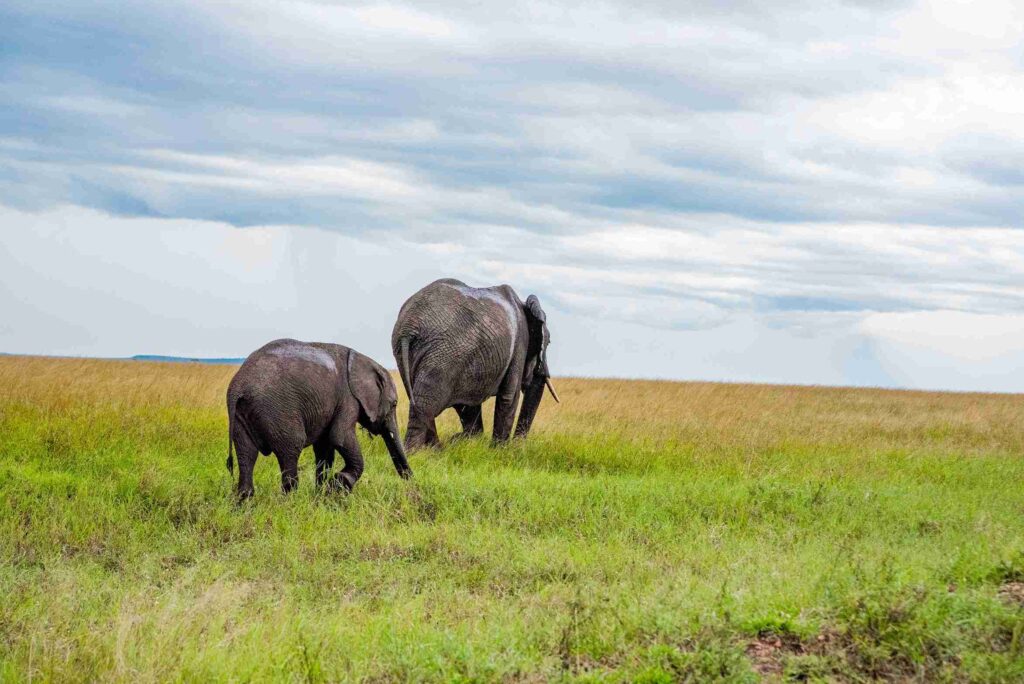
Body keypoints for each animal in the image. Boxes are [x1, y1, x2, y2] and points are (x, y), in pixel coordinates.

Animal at [225, 339, 411, 499]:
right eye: (394, 404)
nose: (409, 479)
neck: (363, 360)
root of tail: (238, 386)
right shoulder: (348, 398)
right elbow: (340, 437)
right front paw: (339, 483)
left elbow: (324, 448)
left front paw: (322, 494)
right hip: (277, 410)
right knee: (291, 450)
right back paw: (290, 502)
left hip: (241, 414)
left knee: (246, 454)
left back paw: (244, 503)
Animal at [391, 278, 559, 451]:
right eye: (548, 342)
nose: (519, 445)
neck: (525, 305)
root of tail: (409, 327)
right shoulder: (520, 344)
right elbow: (509, 396)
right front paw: (500, 450)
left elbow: (467, 405)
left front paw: (468, 441)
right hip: (446, 353)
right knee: (425, 405)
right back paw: (415, 452)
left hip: (411, 354)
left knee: (419, 400)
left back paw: (435, 450)